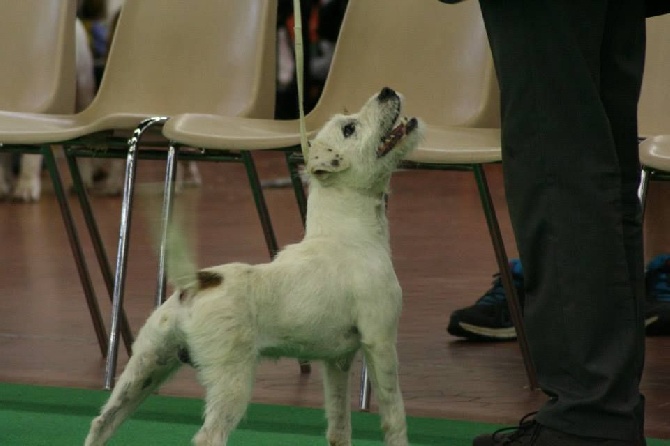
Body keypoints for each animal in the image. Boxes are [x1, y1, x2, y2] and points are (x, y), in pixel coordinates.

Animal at [82, 87, 420, 446]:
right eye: (349, 129)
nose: (386, 91)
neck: (349, 232)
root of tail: (196, 285)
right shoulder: (380, 342)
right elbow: (394, 414)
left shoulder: (336, 361)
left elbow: (339, 425)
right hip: (231, 379)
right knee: (209, 436)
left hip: (145, 367)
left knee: (103, 421)